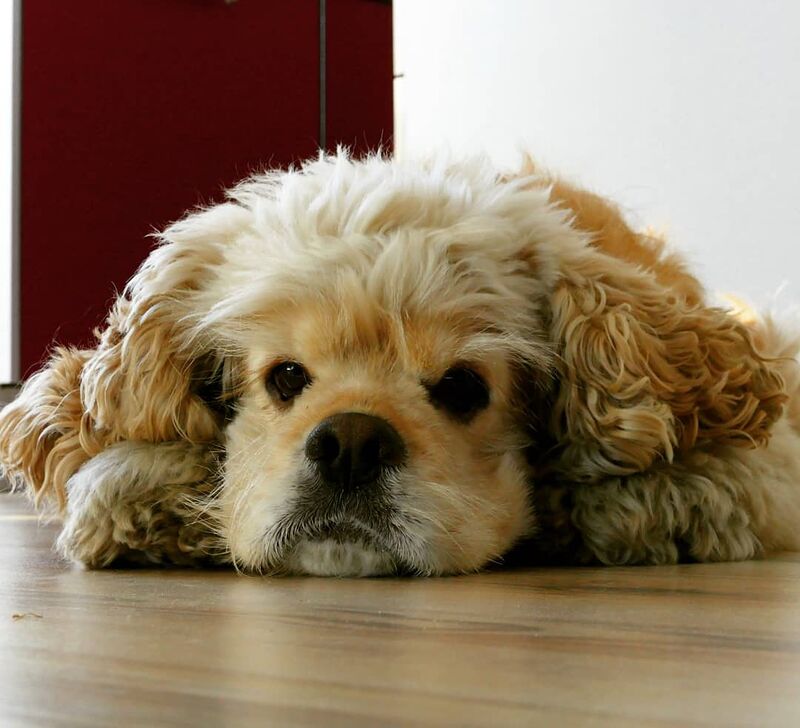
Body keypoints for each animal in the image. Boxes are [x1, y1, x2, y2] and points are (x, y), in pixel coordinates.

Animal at [2, 152, 799, 576]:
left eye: (464, 387)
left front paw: (653, 502)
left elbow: (721, 481)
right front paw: (146, 494)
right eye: (285, 377)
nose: (351, 443)